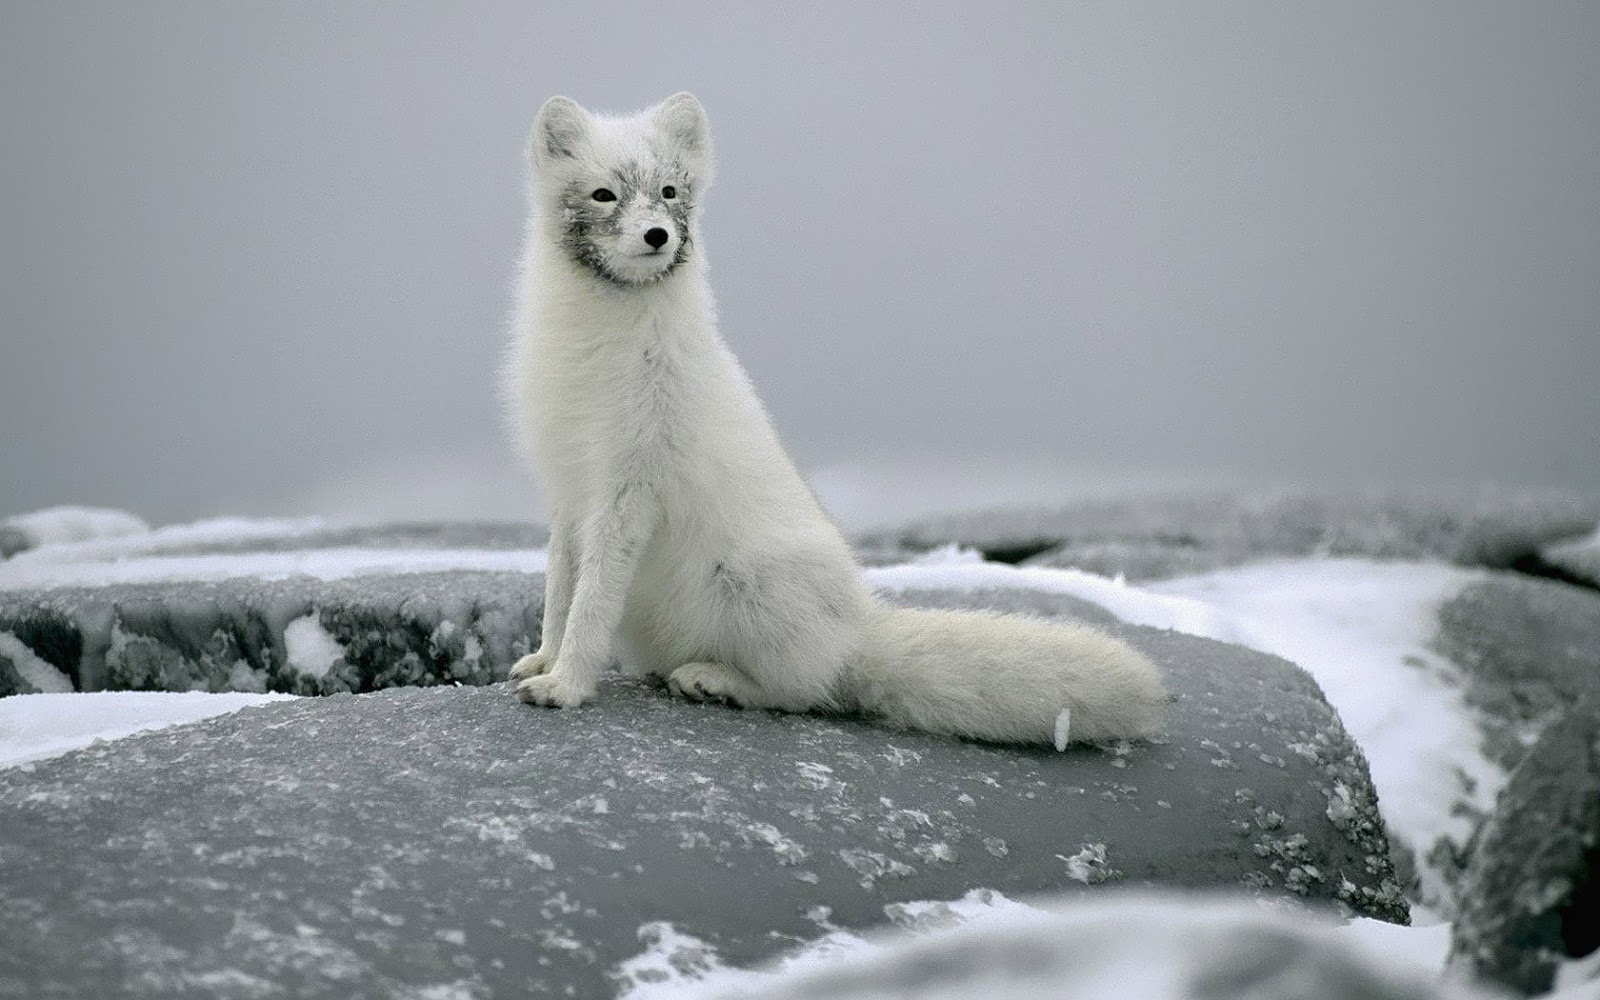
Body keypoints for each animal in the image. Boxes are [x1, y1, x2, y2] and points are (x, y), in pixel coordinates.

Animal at [504, 92, 1167, 746]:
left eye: (669, 191)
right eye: (603, 195)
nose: (657, 234)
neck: (597, 347)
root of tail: (856, 631)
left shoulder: (628, 489)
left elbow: (592, 602)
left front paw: (565, 685)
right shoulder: (568, 489)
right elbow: (560, 590)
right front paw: (544, 659)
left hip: (752, 585)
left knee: (805, 691)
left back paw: (714, 680)